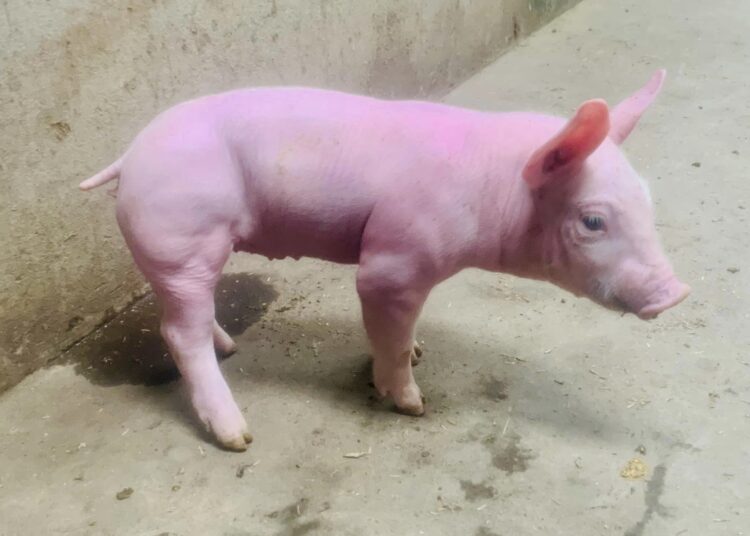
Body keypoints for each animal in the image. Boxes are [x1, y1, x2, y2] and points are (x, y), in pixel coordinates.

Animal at [80, 70, 689, 451]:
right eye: (593, 221)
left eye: (648, 197)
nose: (677, 292)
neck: (495, 189)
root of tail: (129, 157)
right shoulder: (394, 262)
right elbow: (388, 334)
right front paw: (412, 404)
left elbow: (401, 334)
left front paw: (419, 350)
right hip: (180, 238)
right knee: (178, 331)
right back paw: (238, 436)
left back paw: (229, 348)